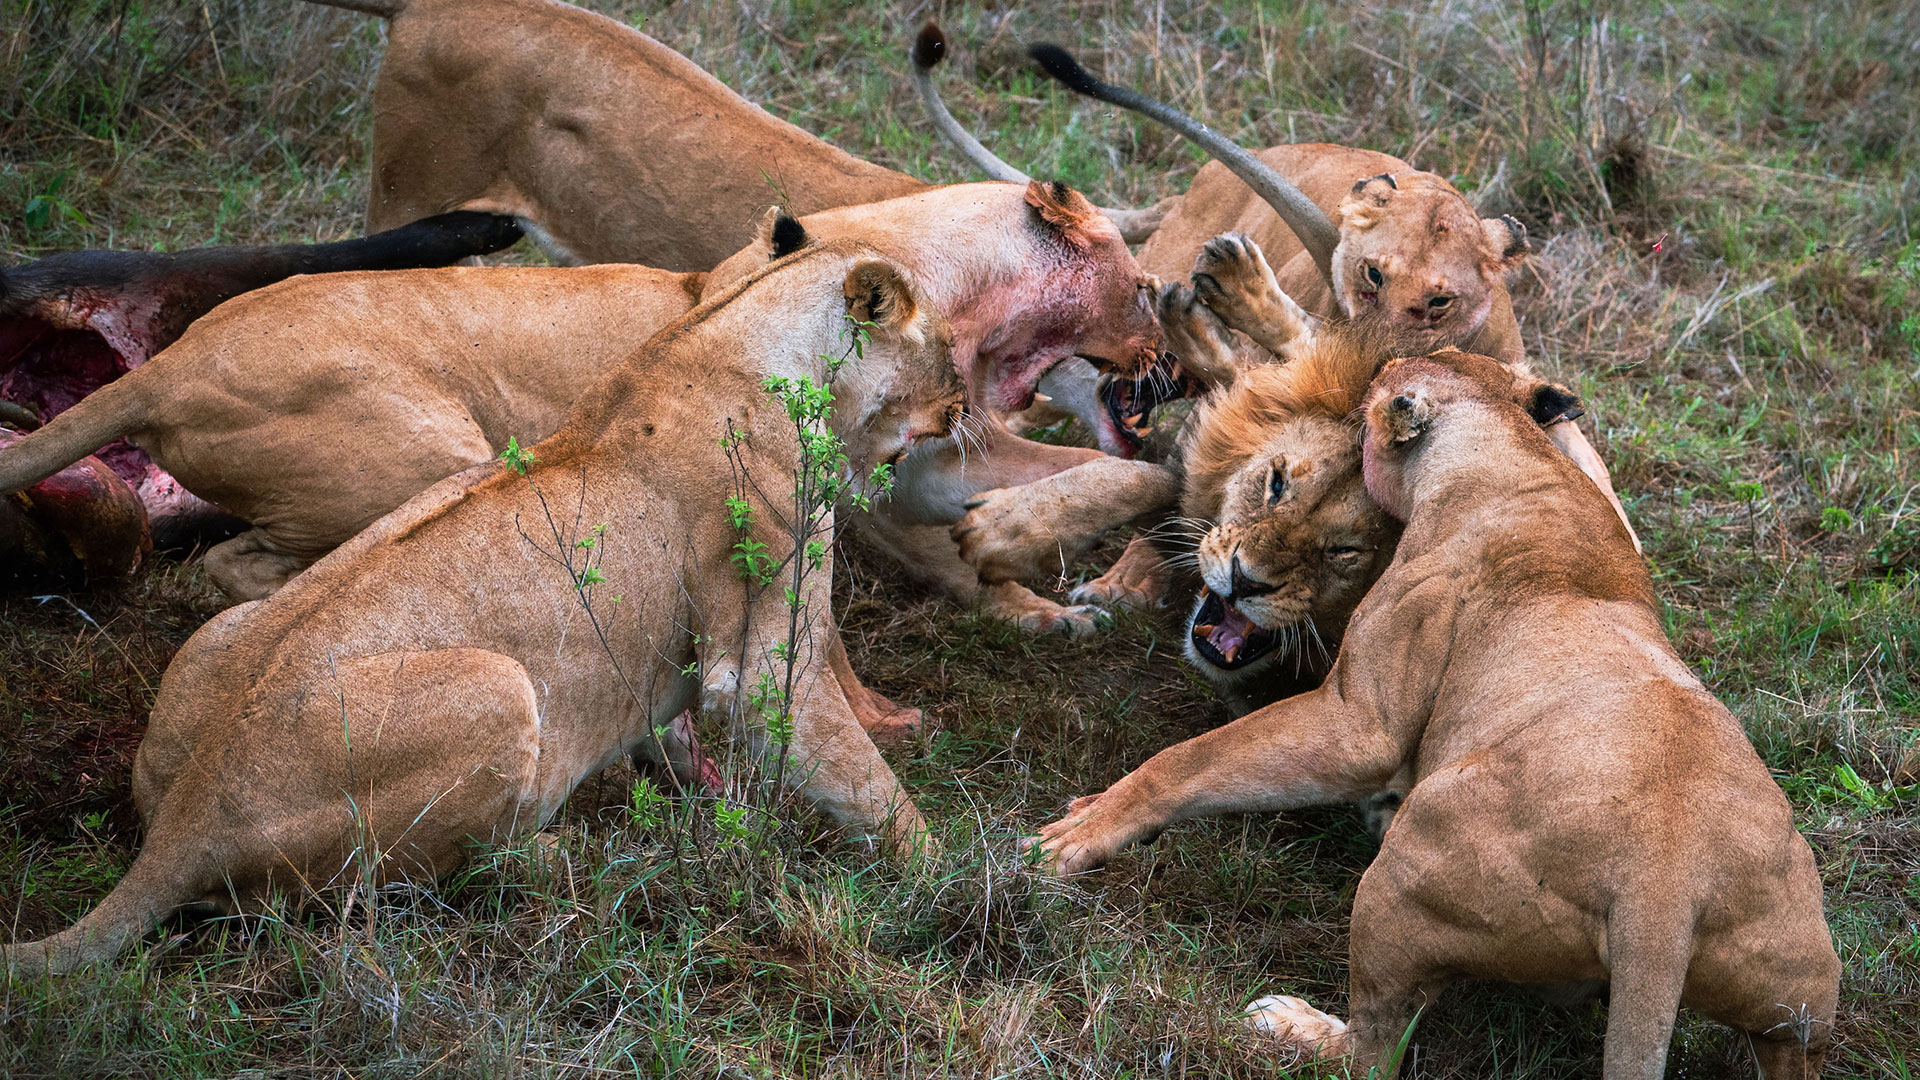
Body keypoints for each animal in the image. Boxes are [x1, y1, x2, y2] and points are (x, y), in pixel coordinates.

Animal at [0, 239, 960, 972]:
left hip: (218, 645)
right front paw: (953, 881)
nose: (961, 413)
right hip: (500, 688)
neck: (729, 331)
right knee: (400, 887)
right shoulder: (761, 658)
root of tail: (186, 823)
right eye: (950, 353)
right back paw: (562, 854)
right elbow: (866, 780)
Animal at [1029, 349, 1835, 1068]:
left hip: (1401, 883)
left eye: (1342, 550)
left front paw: (1078, 833)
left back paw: (1291, 1025)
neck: (1510, 458)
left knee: (1373, 1050)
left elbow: (1192, 762)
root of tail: (1662, 893)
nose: (1244, 579)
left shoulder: (1360, 719)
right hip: (1801, 999)